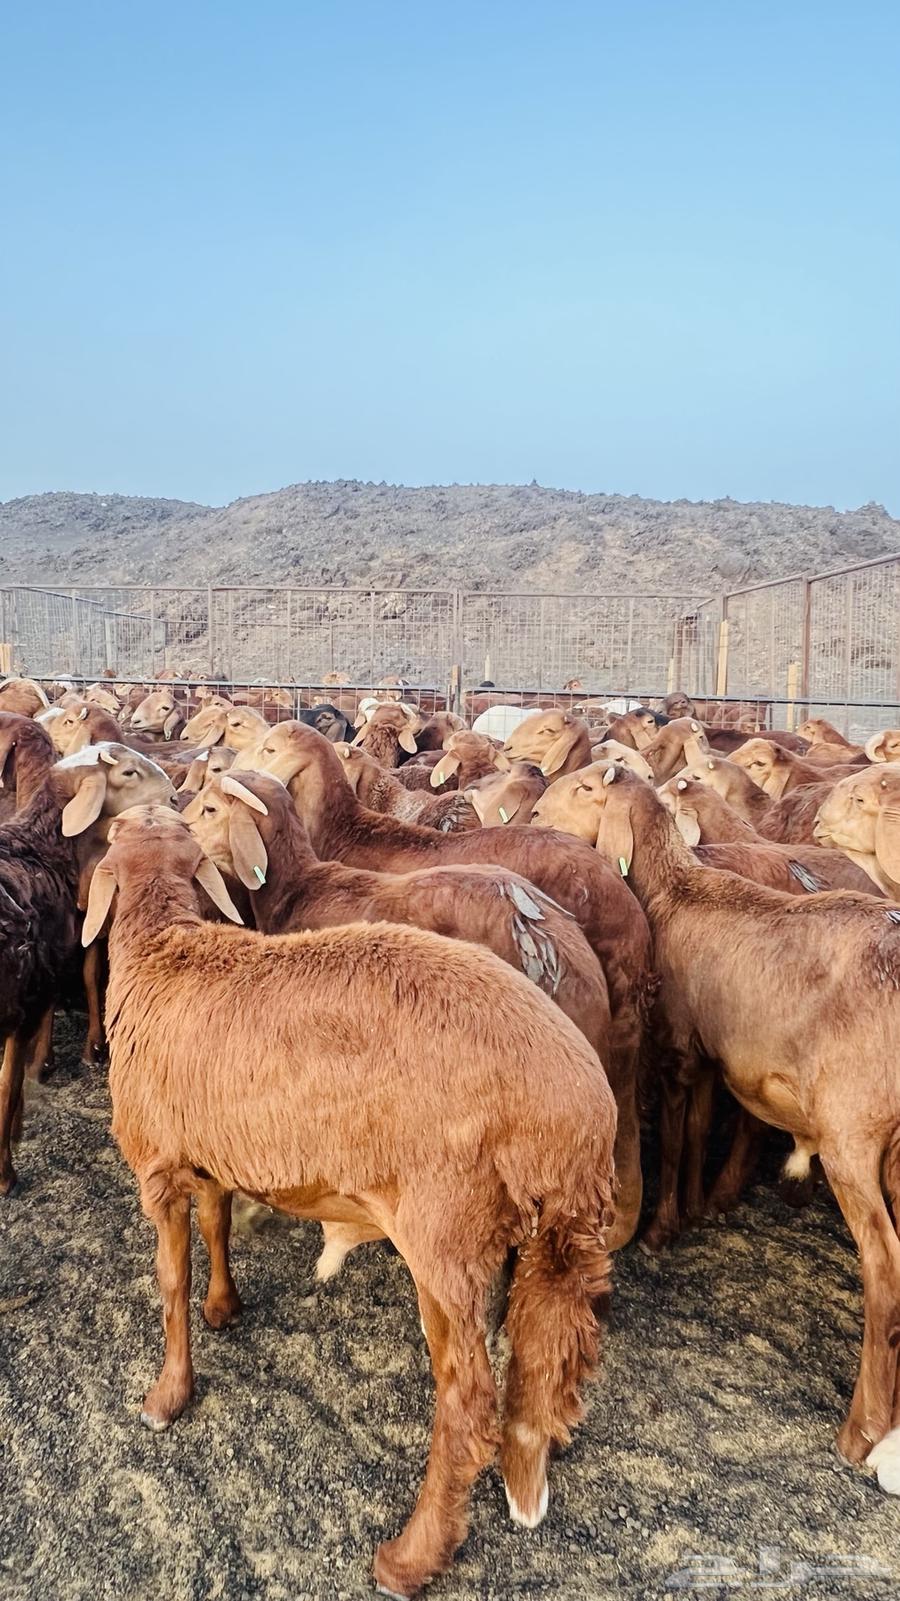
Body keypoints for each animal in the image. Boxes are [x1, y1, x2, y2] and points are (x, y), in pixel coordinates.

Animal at [0, 744, 176, 1190]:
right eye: (129, 773)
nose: (174, 799)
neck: (41, 849)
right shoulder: (29, 998)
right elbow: (8, 1084)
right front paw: (6, 1171)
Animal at [83, 806, 616, 1595]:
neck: (162, 950)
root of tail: (580, 1116)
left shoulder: (158, 1163)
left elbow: (170, 1280)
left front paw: (167, 1396)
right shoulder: (210, 1151)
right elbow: (217, 1226)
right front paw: (225, 1306)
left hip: (446, 1231)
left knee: (467, 1405)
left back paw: (409, 1557)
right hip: (557, 1235)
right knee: (547, 1355)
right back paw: (532, 1474)